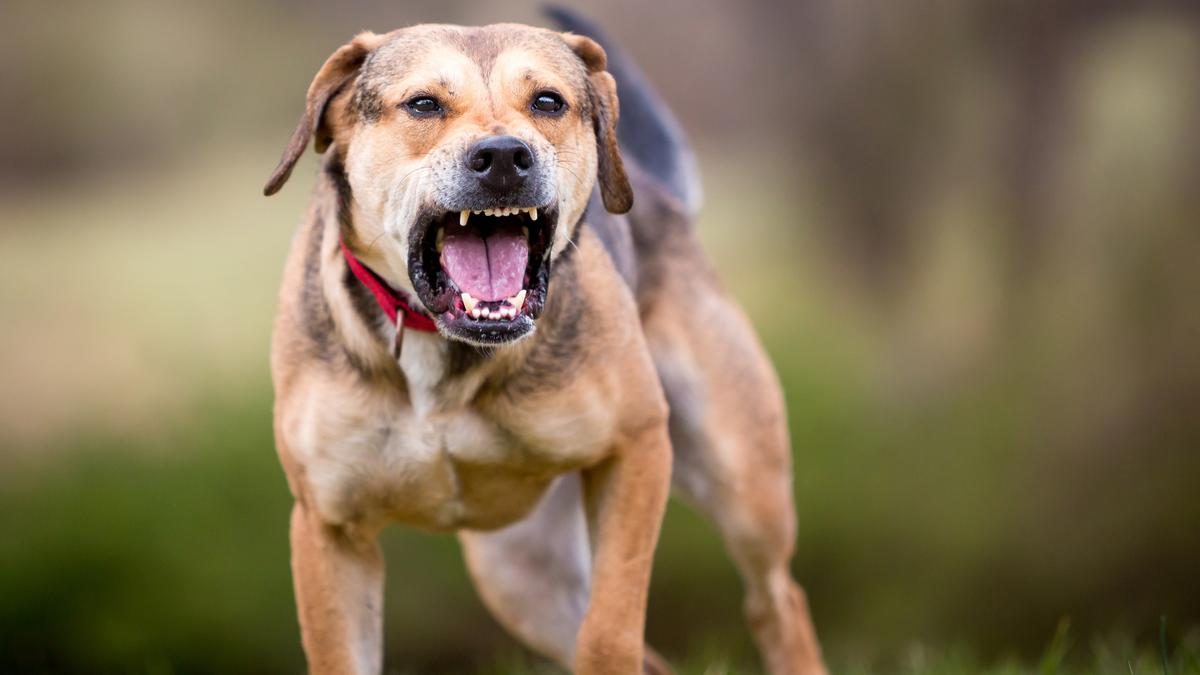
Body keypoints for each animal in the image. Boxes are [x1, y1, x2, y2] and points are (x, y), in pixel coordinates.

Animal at [262, 10, 825, 672]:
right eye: (423, 104)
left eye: (548, 101)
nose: (505, 156)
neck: (442, 348)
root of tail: (663, 197)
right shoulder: (328, 527)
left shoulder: (637, 448)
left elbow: (609, 632)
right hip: (522, 574)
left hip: (741, 480)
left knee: (776, 600)